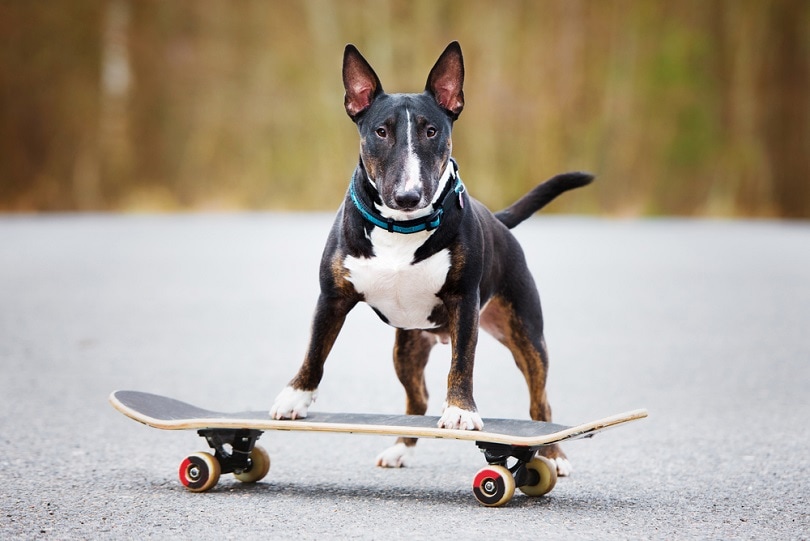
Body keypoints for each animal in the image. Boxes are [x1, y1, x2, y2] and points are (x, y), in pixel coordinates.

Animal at [268, 40, 592, 474]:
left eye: (432, 130)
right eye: (381, 131)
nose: (409, 196)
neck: (401, 228)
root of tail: (499, 220)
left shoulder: (464, 303)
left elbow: (462, 364)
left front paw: (460, 412)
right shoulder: (332, 297)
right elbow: (315, 350)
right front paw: (294, 397)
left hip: (525, 332)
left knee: (541, 402)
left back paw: (554, 456)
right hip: (407, 345)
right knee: (416, 397)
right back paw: (400, 448)